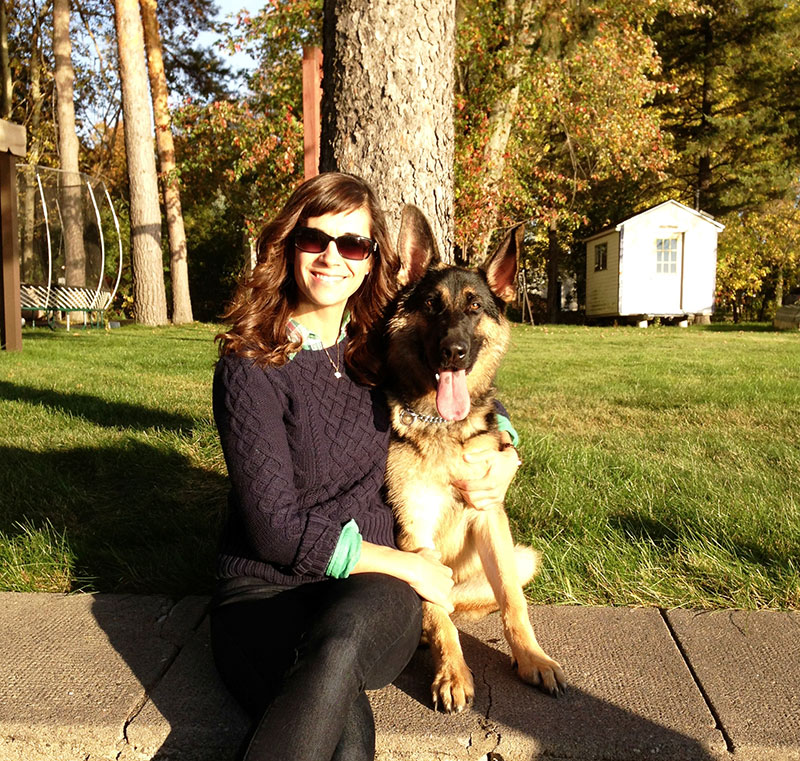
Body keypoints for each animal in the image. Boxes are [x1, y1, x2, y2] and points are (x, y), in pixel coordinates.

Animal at [384, 203, 564, 712]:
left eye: (474, 306)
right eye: (431, 305)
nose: (453, 352)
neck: (443, 425)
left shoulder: (489, 516)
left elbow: (513, 602)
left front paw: (531, 658)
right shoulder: (415, 532)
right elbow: (436, 612)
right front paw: (452, 672)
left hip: (523, 556)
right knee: (440, 609)